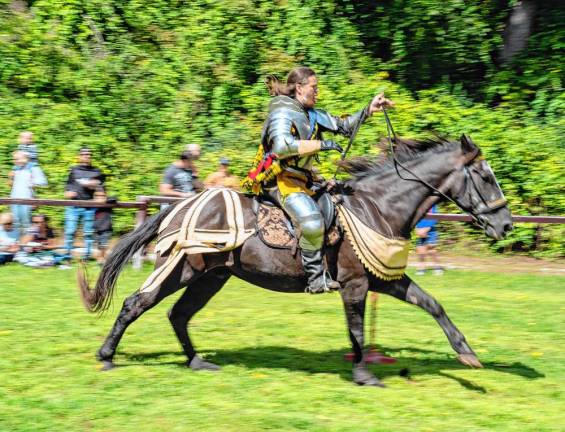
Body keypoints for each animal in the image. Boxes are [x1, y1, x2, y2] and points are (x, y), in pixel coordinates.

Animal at [78, 133, 512, 386]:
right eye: (485, 176)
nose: (506, 224)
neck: (378, 207)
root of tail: (178, 205)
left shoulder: (382, 280)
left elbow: (432, 304)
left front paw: (467, 354)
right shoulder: (355, 283)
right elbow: (356, 329)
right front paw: (363, 374)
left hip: (211, 277)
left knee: (179, 315)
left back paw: (198, 362)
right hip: (181, 269)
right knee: (136, 303)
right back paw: (106, 357)